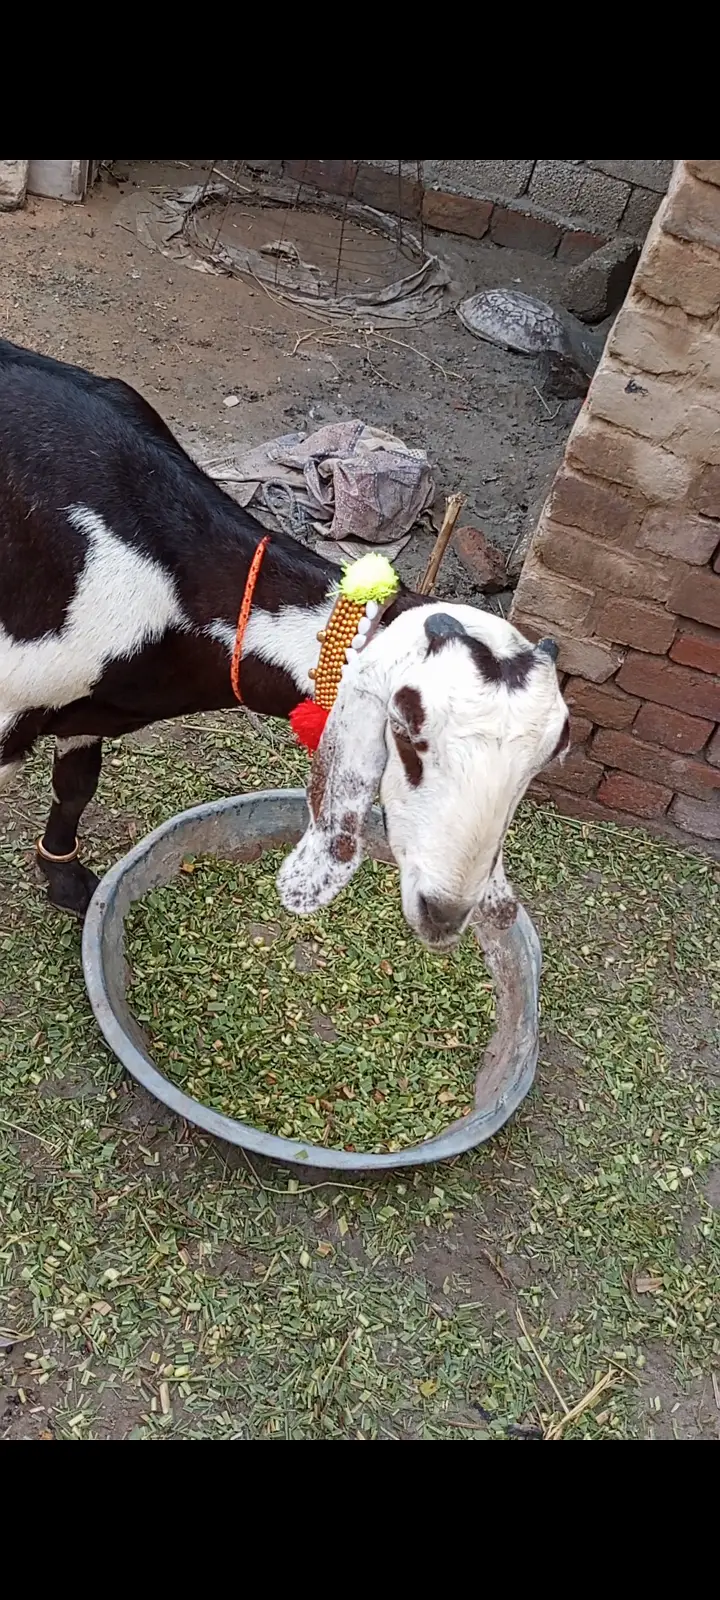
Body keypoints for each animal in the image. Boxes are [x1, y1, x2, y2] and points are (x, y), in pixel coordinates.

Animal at [0, 340, 569, 947]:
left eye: (540, 765)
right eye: (407, 734)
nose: (445, 911)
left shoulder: (86, 704)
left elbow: (76, 785)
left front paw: (66, 882)